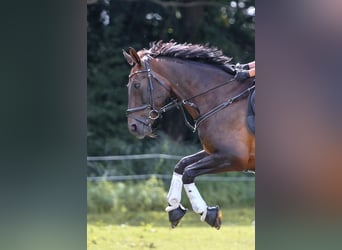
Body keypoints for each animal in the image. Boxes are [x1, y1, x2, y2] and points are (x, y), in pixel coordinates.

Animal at [123, 41, 254, 230]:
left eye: (136, 85)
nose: (133, 127)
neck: (222, 98)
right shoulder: (214, 152)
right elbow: (181, 164)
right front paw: (174, 207)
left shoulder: (234, 158)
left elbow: (189, 172)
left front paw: (207, 213)